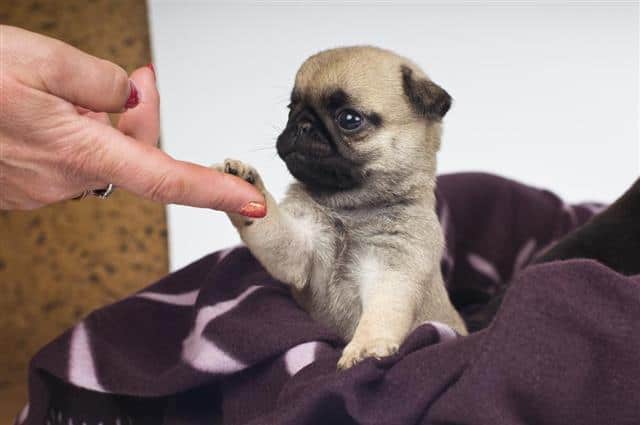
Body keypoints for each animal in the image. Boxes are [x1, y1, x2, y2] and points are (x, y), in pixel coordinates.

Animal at [215, 46, 464, 368]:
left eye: (349, 118)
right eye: (290, 108)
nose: (302, 124)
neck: (348, 208)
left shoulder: (393, 268)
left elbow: (380, 314)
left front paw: (365, 348)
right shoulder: (299, 247)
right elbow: (274, 228)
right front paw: (245, 183)